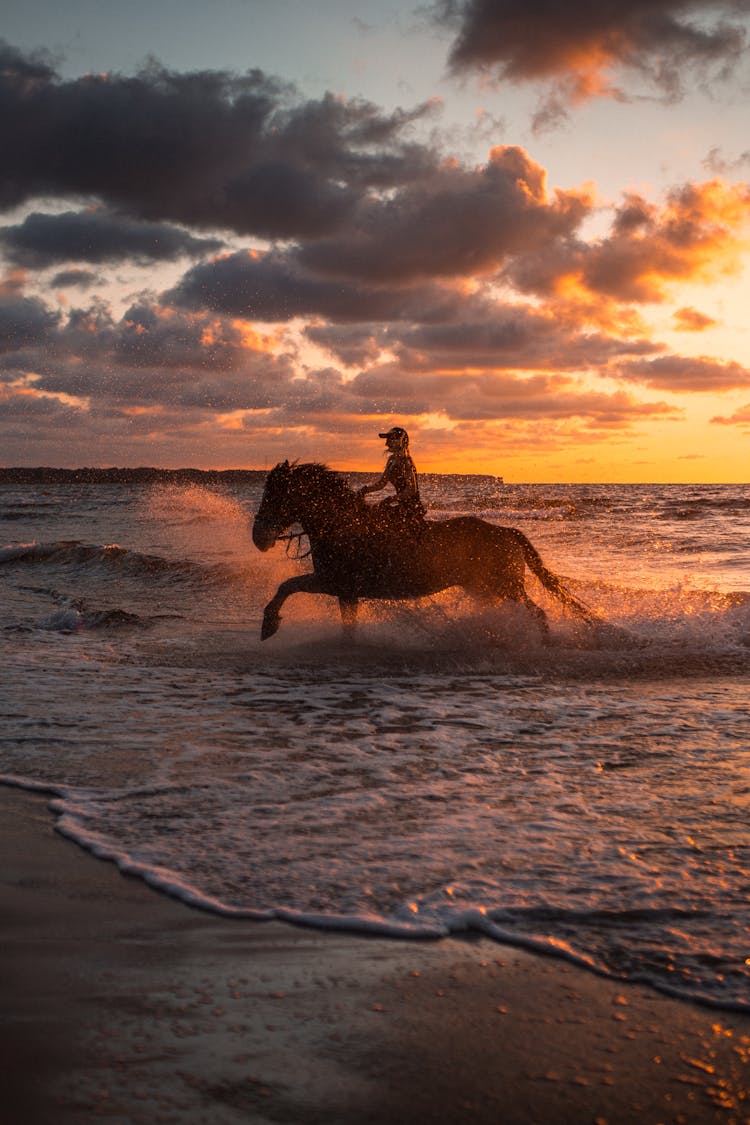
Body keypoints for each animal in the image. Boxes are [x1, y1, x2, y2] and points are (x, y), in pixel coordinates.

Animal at [251, 461, 598, 643]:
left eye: (274, 496)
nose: (258, 538)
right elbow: (347, 625)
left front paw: (269, 625)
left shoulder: (333, 581)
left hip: (505, 587)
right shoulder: (346, 591)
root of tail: (506, 532)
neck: (341, 524)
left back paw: (542, 643)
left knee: (537, 612)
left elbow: (287, 586)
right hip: (484, 590)